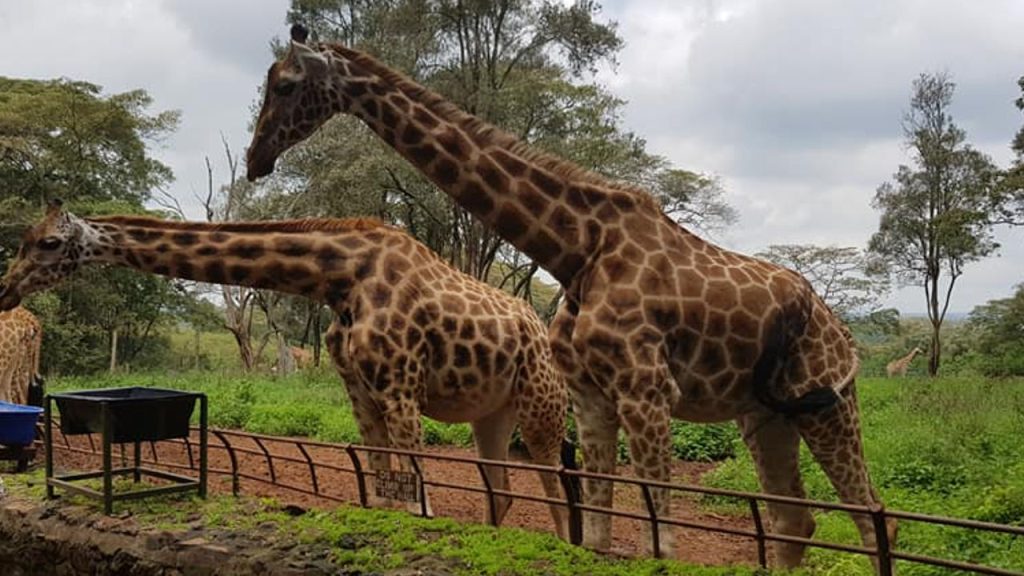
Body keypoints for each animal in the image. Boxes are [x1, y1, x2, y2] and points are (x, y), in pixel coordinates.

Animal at [239, 24, 897, 565]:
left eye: (287, 84)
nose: (255, 159)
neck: (576, 251)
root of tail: (842, 329)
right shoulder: (592, 394)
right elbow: (600, 526)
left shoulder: (646, 389)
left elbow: (659, 528)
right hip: (765, 415)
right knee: (795, 522)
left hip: (828, 401)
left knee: (873, 519)